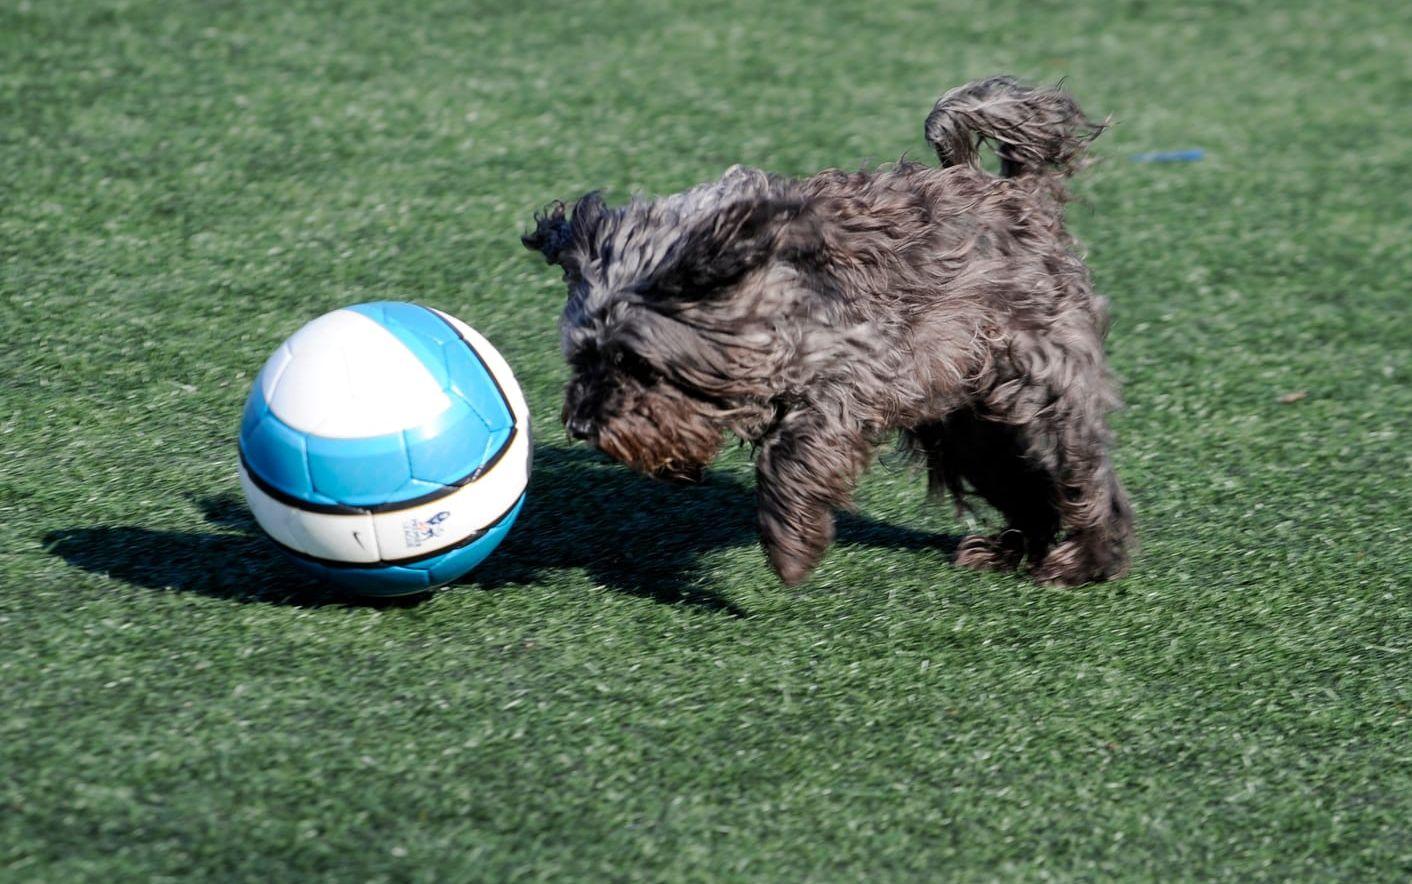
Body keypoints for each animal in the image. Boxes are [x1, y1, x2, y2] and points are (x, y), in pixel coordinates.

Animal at [528, 75, 1135, 584]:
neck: (766, 286)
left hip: (1040, 396)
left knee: (1085, 480)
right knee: (1026, 488)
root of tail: (1022, 195)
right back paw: (1012, 548)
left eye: (635, 362)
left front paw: (790, 544)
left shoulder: (861, 380)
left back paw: (1088, 559)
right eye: (583, 357)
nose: (581, 425)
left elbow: (788, 452)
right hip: (969, 427)